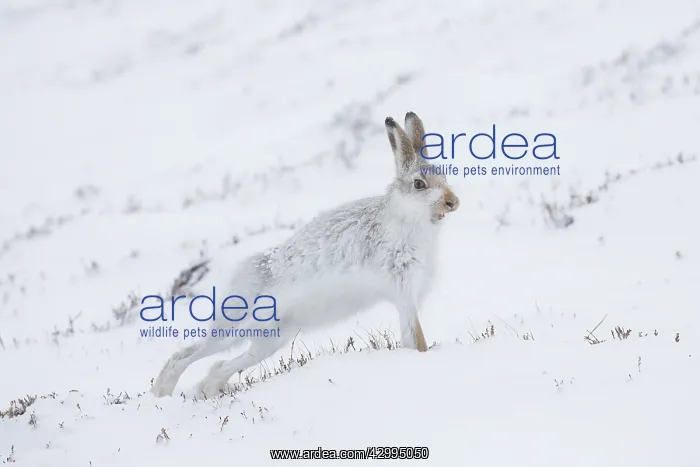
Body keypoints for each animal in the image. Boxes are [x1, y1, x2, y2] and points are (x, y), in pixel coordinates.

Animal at [150, 112, 460, 398]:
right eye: (419, 184)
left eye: (445, 175)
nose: (453, 202)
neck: (409, 221)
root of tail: (245, 269)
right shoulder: (403, 290)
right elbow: (417, 338)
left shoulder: (406, 299)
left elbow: (410, 336)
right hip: (238, 323)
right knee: (186, 355)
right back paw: (162, 392)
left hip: (272, 337)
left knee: (225, 364)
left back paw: (206, 391)